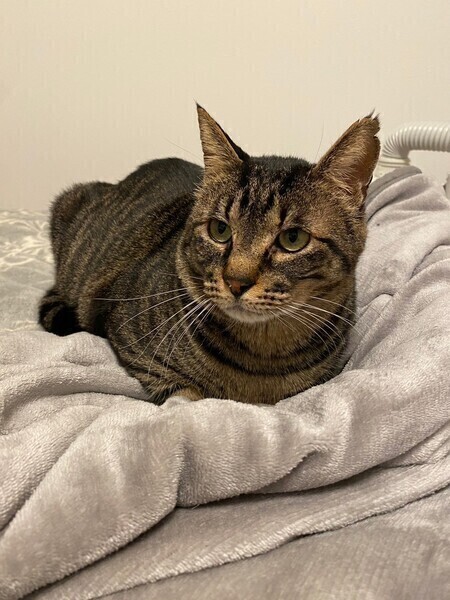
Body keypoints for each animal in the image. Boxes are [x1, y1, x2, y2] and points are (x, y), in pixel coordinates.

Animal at [39, 105, 380, 405]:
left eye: (293, 238)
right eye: (220, 230)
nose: (236, 281)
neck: (263, 358)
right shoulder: (133, 342)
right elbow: (184, 393)